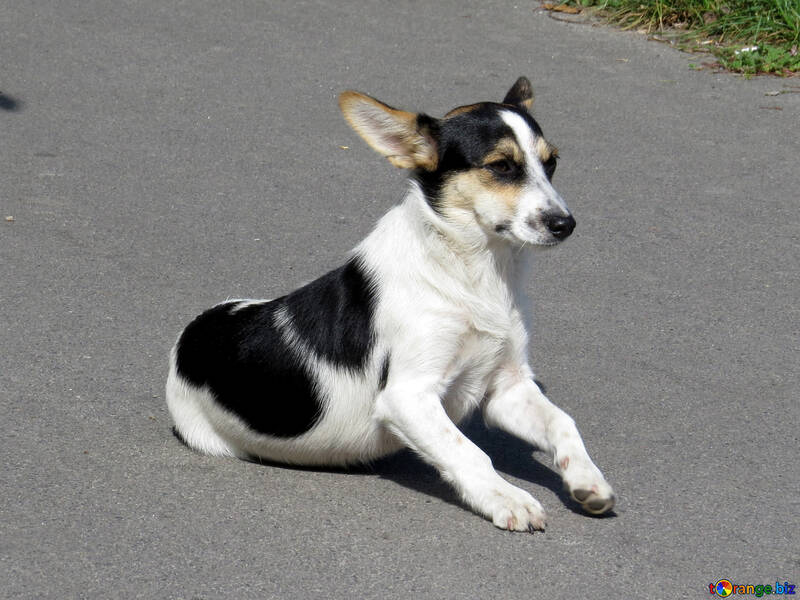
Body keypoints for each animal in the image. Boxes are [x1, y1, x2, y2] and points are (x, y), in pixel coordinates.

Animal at [166, 77, 616, 532]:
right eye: (502, 166)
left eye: (551, 163)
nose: (565, 225)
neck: (474, 272)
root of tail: (192, 334)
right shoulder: (407, 397)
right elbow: (470, 452)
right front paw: (507, 498)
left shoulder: (507, 387)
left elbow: (563, 423)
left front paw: (586, 480)